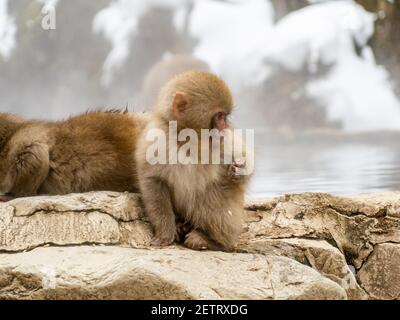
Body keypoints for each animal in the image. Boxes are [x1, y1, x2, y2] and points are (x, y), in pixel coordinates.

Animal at [135, 70, 253, 252]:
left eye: (225, 117)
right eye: (220, 116)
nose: (226, 127)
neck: (189, 140)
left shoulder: (224, 141)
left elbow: (243, 159)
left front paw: (239, 169)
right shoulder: (156, 141)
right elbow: (153, 181)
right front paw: (165, 233)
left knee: (214, 191)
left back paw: (211, 241)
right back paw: (180, 227)